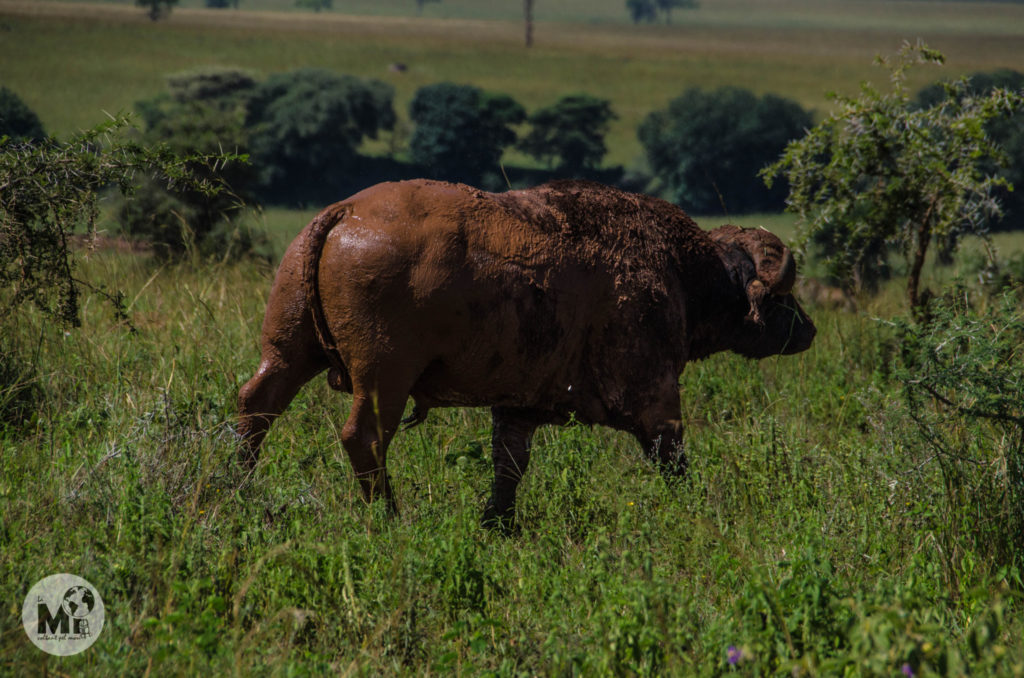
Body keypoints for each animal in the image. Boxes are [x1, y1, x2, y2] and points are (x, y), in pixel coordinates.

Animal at [237, 178, 815, 528]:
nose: (808, 330)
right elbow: (671, 456)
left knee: (255, 406)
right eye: (780, 296)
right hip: (385, 379)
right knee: (364, 437)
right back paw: (390, 516)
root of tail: (345, 212)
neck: (682, 269)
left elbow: (508, 465)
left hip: (289, 352)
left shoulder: (517, 408)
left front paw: (497, 523)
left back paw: (239, 488)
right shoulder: (655, 399)